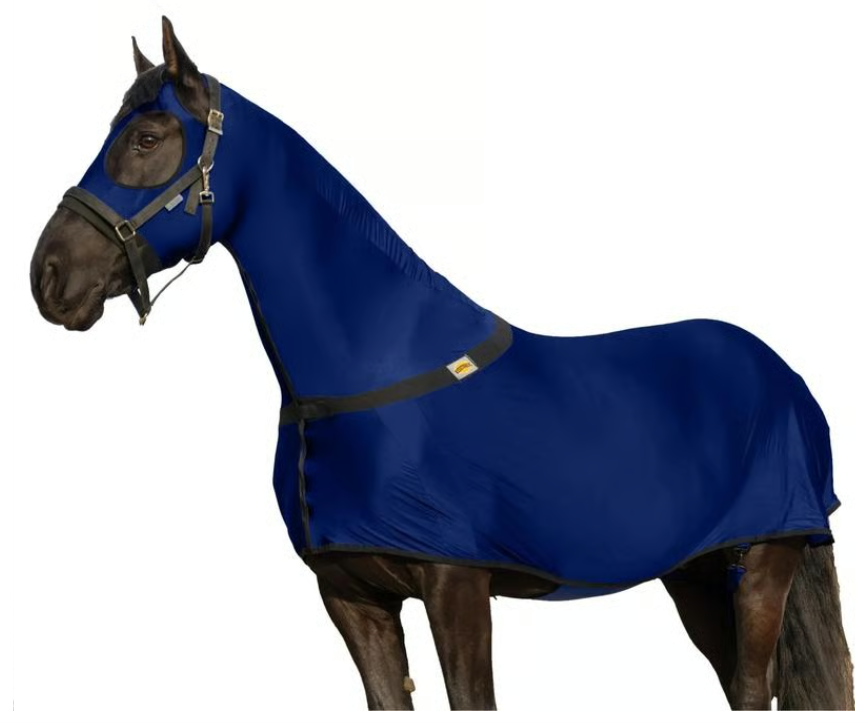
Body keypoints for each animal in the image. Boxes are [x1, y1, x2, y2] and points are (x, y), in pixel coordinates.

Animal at [29, 17, 853, 711]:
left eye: (148, 138)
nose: (49, 277)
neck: (370, 371)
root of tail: (781, 373)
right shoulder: (352, 598)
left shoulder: (458, 587)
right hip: (697, 574)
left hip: (764, 561)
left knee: (752, 687)